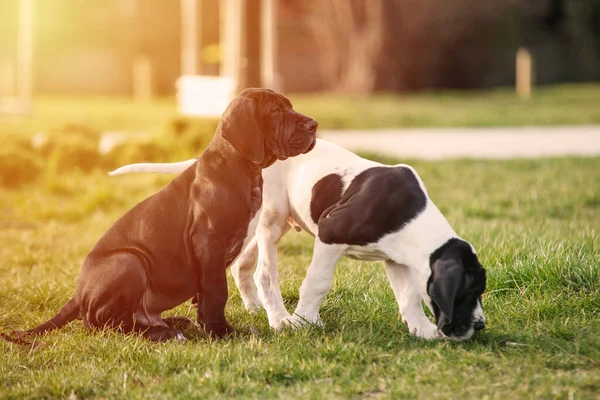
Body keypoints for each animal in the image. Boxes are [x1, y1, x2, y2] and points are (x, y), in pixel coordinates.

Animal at [8, 89, 318, 342]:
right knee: (105, 325)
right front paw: (221, 332)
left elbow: (205, 296)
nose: (313, 125)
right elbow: (217, 290)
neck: (240, 167)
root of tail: (77, 295)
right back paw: (161, 333)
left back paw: (172, 324)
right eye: (275, 111)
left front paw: (207, 326)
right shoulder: (209, 242)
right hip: (129, 262)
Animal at [110, 138, 486, 340]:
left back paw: (255, 307)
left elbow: (409, 296)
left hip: (255, 226)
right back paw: (278, 318)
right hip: (271, 218)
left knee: (242, 266)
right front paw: (305, 320)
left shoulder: (395, 258)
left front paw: (421, 329)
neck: (413, 219)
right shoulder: (330, 234)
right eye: (469, 291)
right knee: (263, 272)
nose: (480, 325)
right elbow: (318, 282)